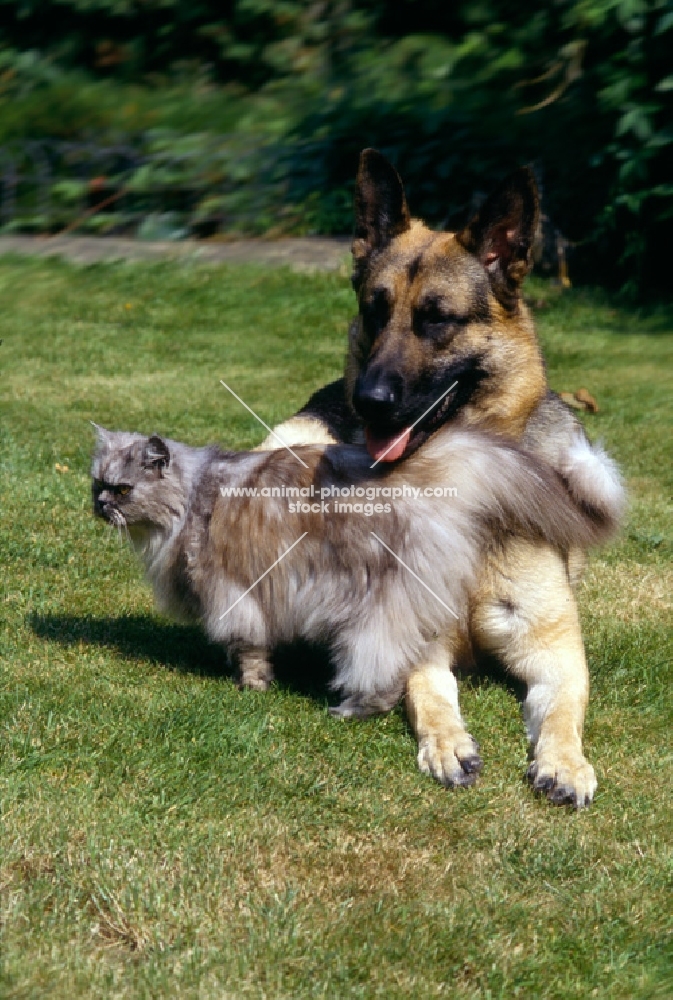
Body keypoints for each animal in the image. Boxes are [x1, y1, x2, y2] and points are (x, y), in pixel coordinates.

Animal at [90, 422, 620, 720]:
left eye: (121, 490)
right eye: (96, 483)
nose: (98, 505)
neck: (193, 498)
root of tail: (426, 470)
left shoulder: (234, 595)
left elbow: (250, 651)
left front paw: (251, 686)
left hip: (373, 609)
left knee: (380, 670)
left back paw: (348, 710)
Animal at [264, 148, 624, 808]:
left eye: (437, 320)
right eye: (375, 309)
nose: (369, 402)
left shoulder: (554, 650)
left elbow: (565, 709)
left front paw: (565, 763)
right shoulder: (413, 643)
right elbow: (430, 693)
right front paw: (447, 743)